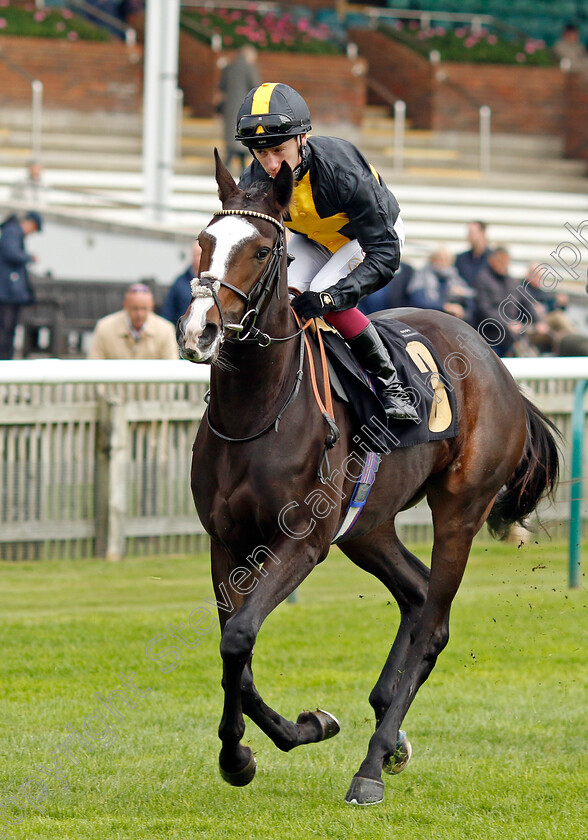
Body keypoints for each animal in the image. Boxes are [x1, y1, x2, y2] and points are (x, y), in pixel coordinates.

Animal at [176, 153, 560, 808]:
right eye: (204, 241)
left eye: (262, 249)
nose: (199, 331)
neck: (258, 412)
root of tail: (498, 366)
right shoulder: (225, 541)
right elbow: (235, 649)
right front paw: (249, 751)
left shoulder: (302, 542)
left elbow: (240, 637)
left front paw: (285, 737)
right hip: (366, 526)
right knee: (416, 592)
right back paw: (391, 730)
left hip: (459, 508)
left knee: (434, 623)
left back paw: (372, 765)